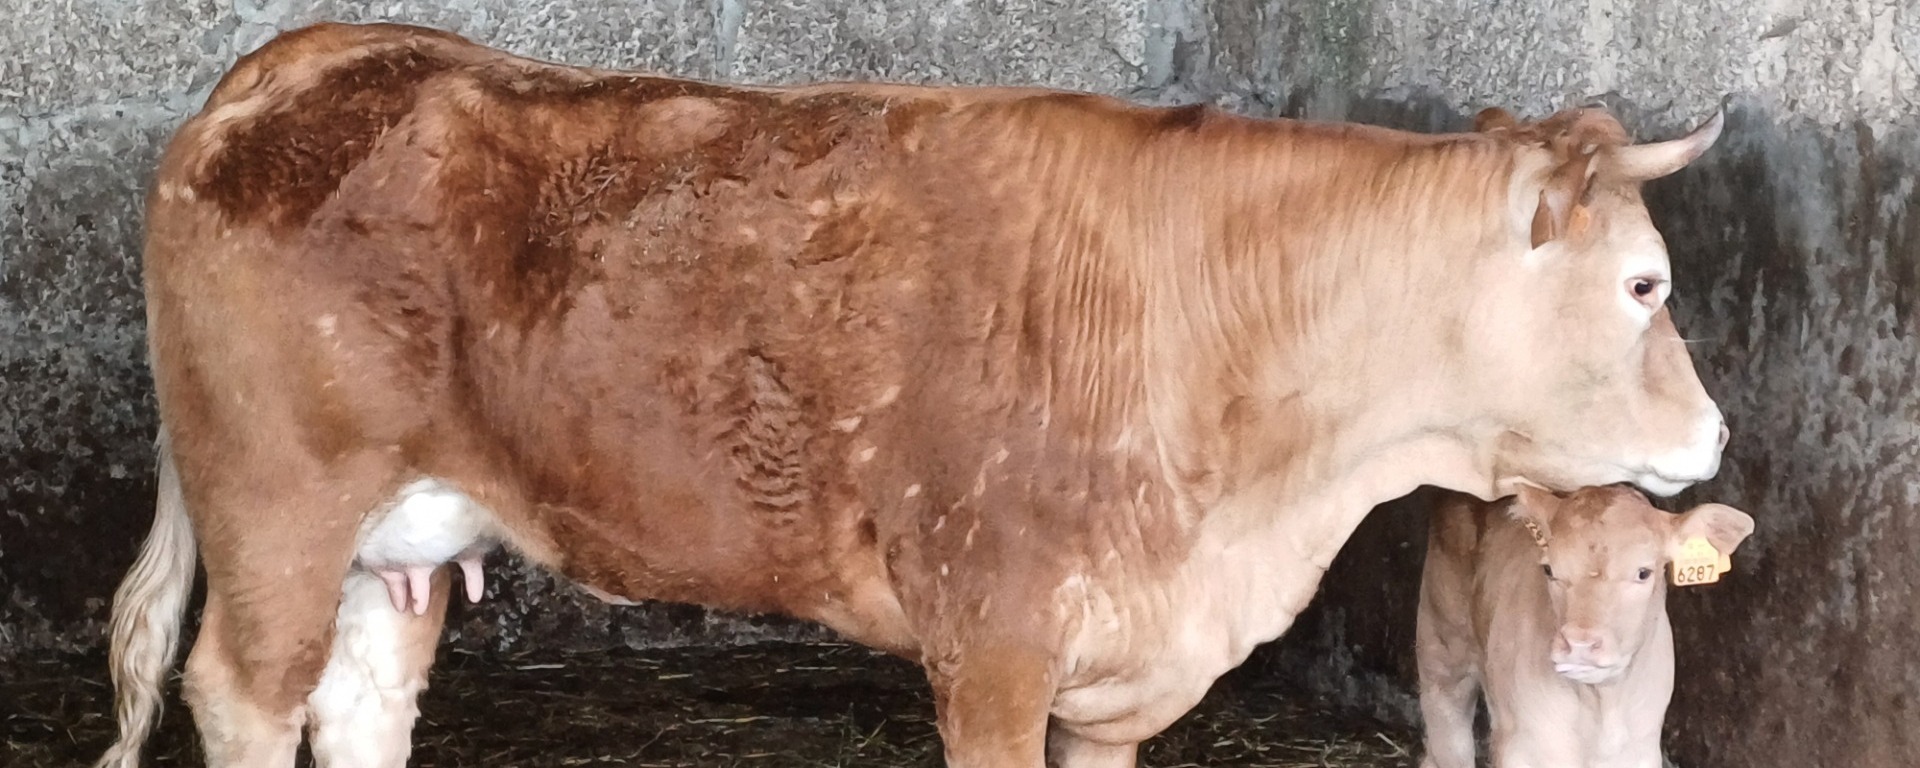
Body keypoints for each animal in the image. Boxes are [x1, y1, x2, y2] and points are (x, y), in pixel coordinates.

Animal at [1415, 486, 1755, 768]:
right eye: (1549, 569)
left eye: (1644, 572)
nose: (1579, 644)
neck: (1601, 709)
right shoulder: (1521, 749)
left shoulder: (1640, 752)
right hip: (1442, 652)